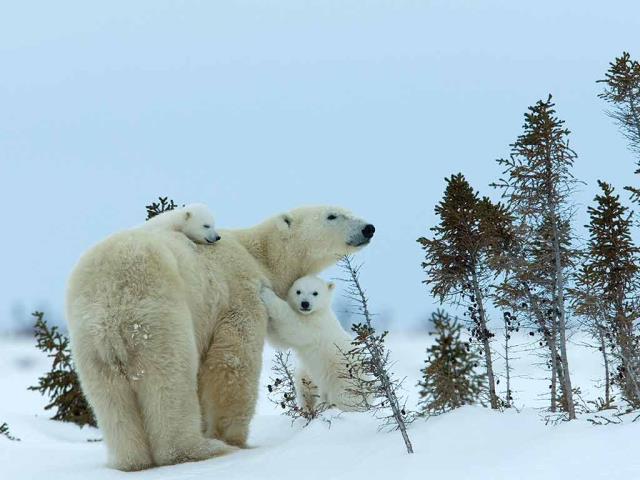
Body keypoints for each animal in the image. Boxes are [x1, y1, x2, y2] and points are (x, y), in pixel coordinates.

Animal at [261, 276, 367, 412]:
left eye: (315, 293)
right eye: (298, 291)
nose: (305, 303)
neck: (317, 312)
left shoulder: (316, 326)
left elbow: (294, 326)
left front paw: (266, 292)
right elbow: (280, 338)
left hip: (345, 381)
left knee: (343, 399)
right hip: (311, 375)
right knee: (305, 385)